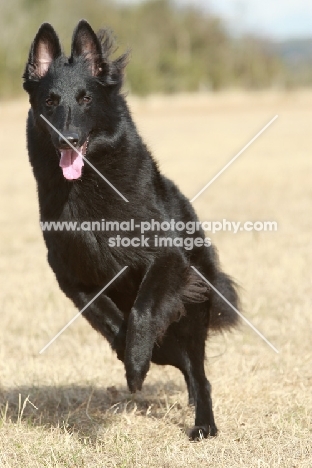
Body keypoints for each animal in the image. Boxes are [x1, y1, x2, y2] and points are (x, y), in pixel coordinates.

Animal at [23, 20, 239, 440]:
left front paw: (136, 365)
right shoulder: (71, 275)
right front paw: (127, 352)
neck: (86, 185)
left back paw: (203, 423)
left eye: (85, 99)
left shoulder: (167, 258)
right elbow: (105, 315)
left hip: (192, 309)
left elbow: (143, 309)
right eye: (50, 102)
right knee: (180, 362)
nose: (67, 139)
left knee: (199, 373)